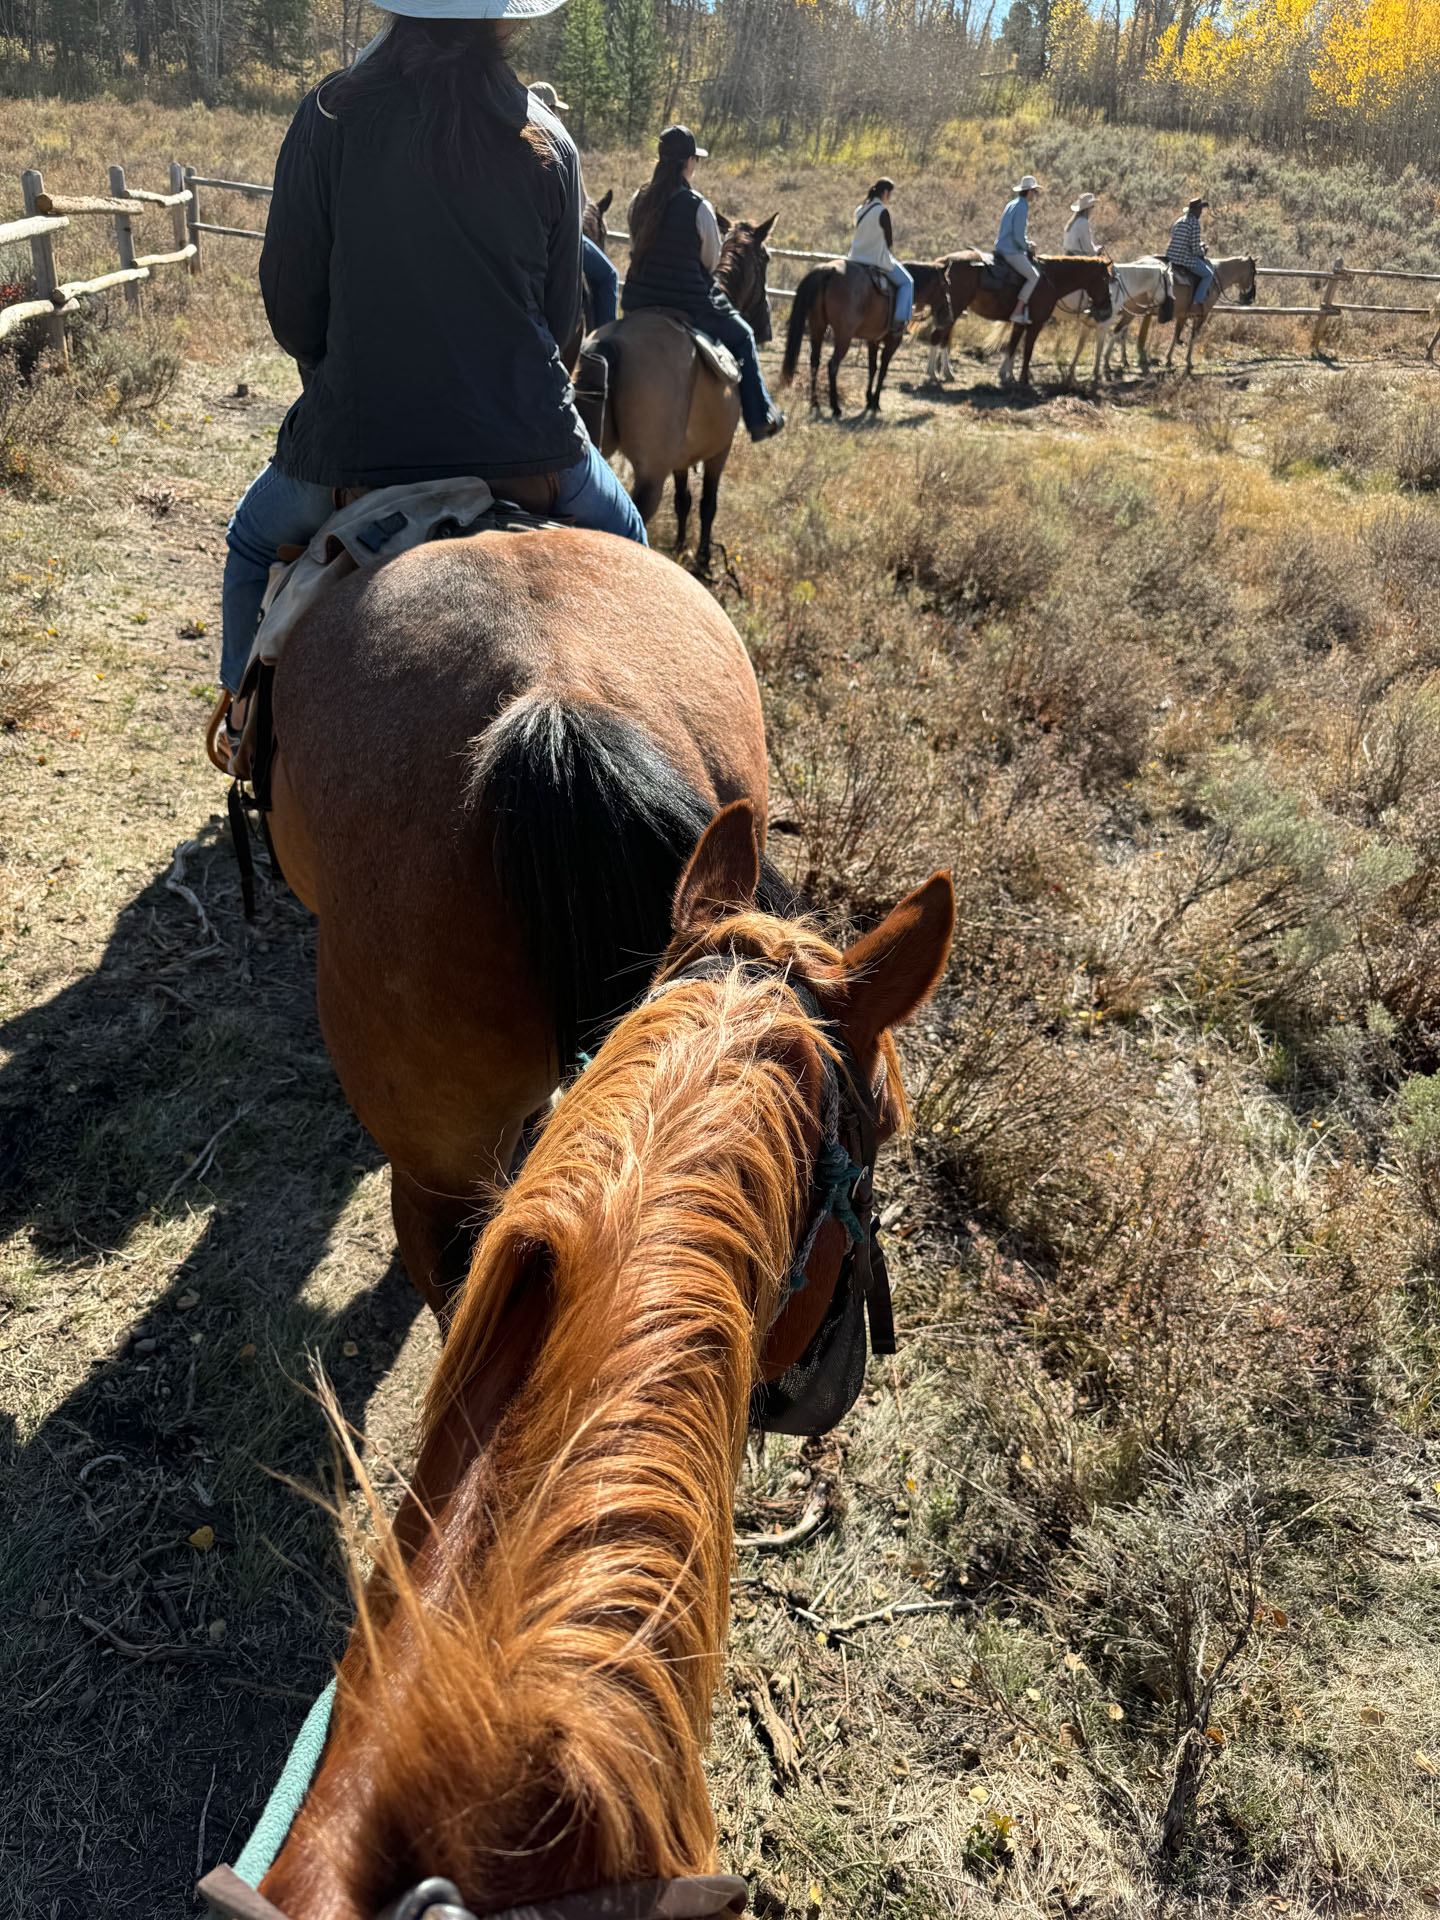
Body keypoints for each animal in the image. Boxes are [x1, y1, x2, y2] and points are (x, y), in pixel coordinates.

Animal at [587, 217, 779, 572]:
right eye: (766, 258)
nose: (767, 328)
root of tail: (614, 340)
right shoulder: (720, 450)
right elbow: (708, 504)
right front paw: (702, 559)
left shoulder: (680, 459)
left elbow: (683, 500)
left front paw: (678, 547)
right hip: (651, 472)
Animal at [779, 257, 960, 414]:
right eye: (947, 284)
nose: (949, 317)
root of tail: (828, 270)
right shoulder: (893, 340)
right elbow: (883, 370)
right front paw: (876, 402)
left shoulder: (873, 340)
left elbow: (872, 368)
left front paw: (868, 399)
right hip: (843, 336)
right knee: (832, 365)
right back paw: (835, 406)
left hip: (817, 327)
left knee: (814, 362)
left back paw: (815, 403)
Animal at [929, 253, 1121, 391]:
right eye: (1106, 278)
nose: (1107, 309)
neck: (1051, 279)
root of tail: (943, 264)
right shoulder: (1036, 324)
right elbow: (1027, 350)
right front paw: (1023, 379)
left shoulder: (1020, 323)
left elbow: (1012, 347)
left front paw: (1006, 376)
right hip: (953, 311)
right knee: (938, 337)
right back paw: (933, 374)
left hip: (951, 313)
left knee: (943, 339)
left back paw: (946, 373)